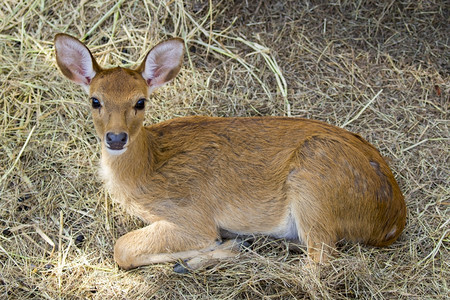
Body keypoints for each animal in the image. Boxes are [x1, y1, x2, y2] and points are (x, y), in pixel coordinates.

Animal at [54, 33, 406, 272]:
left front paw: (216, 246)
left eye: (140, 101)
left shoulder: (191, 216)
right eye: (95, 100)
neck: (148, 169)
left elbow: (122, 248)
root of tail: (393, 219)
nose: (116, 138)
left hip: (315, 186)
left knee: (317, 264)